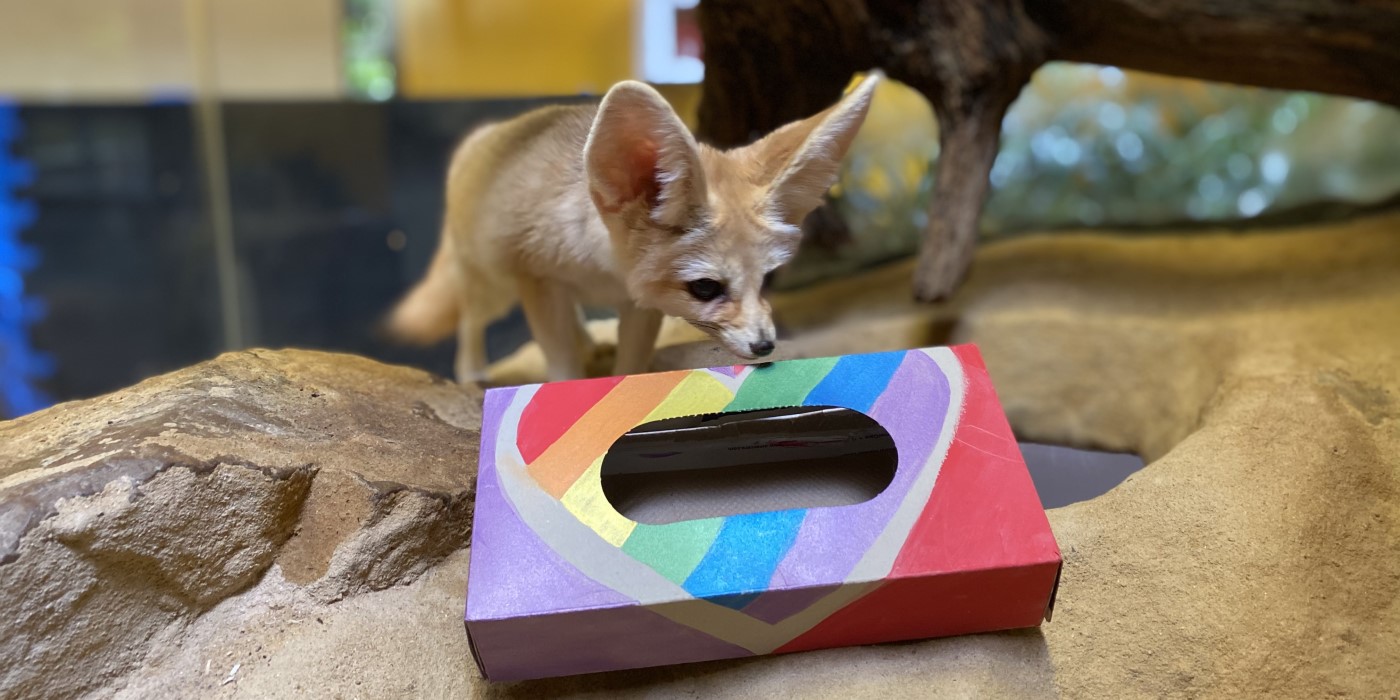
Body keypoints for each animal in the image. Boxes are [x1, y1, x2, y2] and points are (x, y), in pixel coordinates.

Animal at [389, 72, 879, 383]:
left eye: (770, 278)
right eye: (705, 288)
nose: (765, 346)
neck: (603, 273)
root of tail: (486, 135)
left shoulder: (640, 305)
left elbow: (629, 361)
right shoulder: (539, 283)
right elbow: (559, 362)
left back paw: (590, 343)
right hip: (495, 287)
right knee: (470, 318)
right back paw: (471, 370)